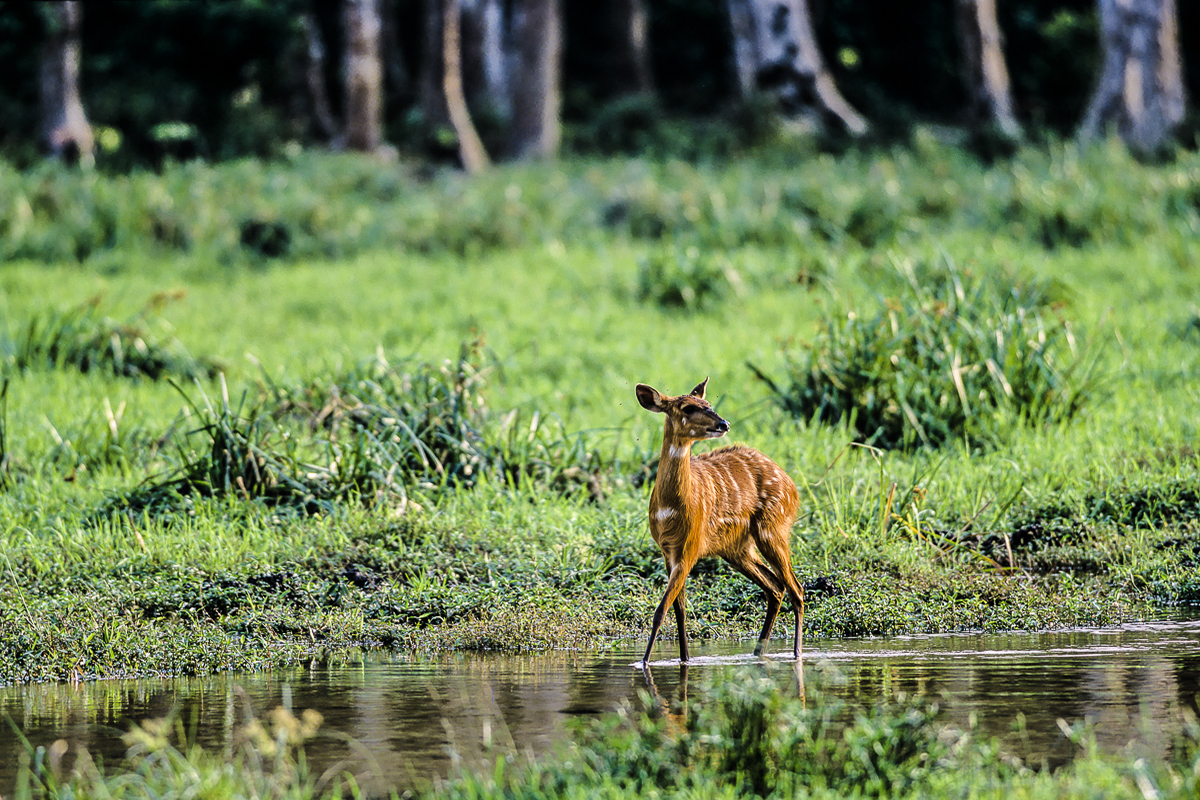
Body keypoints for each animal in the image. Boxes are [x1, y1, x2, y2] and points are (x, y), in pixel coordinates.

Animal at [633, 379, 801, 666]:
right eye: (688, 407)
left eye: (708, 404)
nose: (724, 423)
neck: (670, 509)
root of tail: (792, 487)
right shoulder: (668, 551)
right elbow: (678, 609)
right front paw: (684, 659)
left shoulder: (690, 547)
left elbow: (661, 609)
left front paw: (643, 663)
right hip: (737, 548)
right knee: (775, 587)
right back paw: (758, 652)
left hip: (772, 529)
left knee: (795, 589)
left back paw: (797, 653)